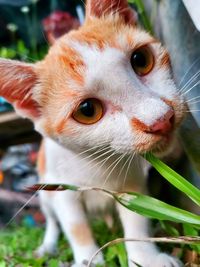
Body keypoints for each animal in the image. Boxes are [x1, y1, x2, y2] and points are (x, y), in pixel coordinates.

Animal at [0, 0, 186, 267]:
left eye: (141, 59)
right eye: (88, 110)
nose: (161, 120)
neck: (98, 164)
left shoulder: (133, 183)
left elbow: (138, 218)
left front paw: (145, 257)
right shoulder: (62, 192)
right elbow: (75, 225)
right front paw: (88, 258)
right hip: (45, 193)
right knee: (52, 220)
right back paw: (47, 245)